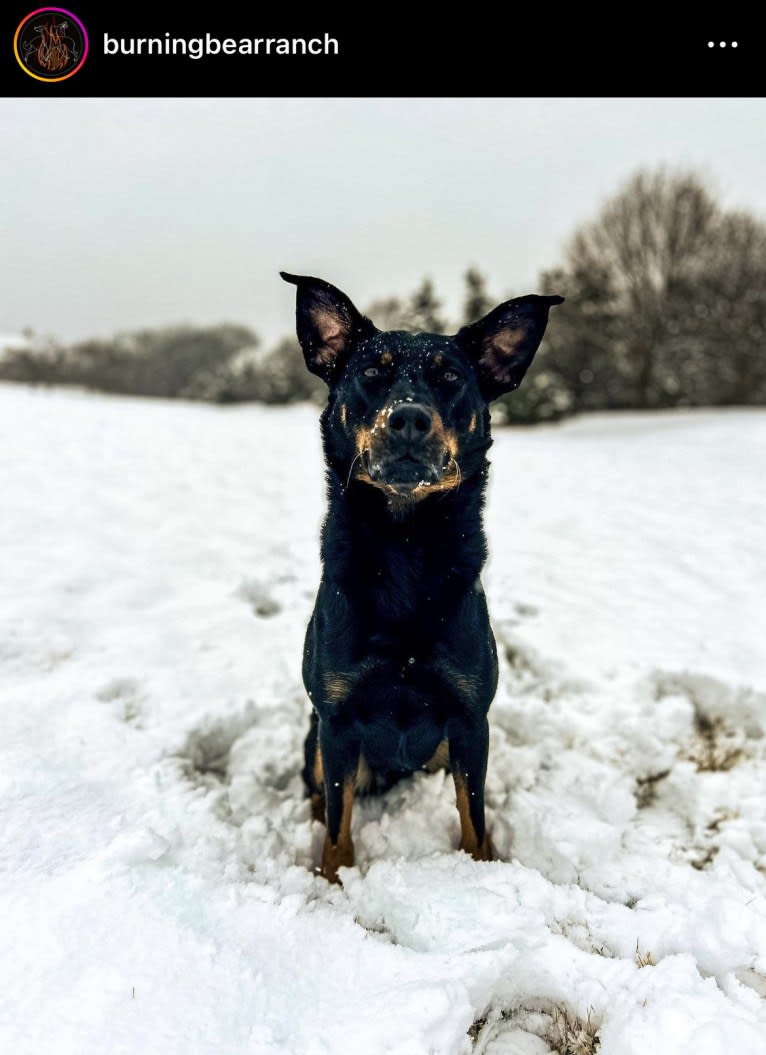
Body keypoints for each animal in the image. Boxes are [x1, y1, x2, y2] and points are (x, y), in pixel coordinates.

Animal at [282, 270, 565, 881]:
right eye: (371, 373)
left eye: (451, 378)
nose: (408, 417)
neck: (405, 548)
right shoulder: (336, 722)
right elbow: (338, 823)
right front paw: (333, 880)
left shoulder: (470, 720)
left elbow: (473, 815)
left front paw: (480, 868)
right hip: (314, 739)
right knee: (318, 791)